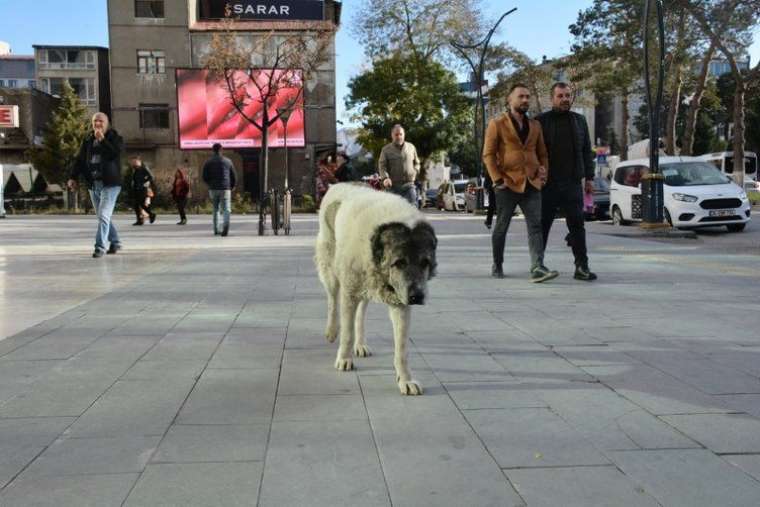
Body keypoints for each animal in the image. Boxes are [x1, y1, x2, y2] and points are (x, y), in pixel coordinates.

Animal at [314, 185, 436, 394]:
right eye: (399, 262)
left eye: (425, 263)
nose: (417, 296)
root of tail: (337, 185)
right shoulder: (349, 292)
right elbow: (347, 332)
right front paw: (344, 359)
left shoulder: (400, 303)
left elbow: (401, 348)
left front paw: (405, 380)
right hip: (331, 269)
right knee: (332, 299)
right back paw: (331, 331)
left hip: (365, 288)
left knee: (360, 314)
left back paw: (360, 344)